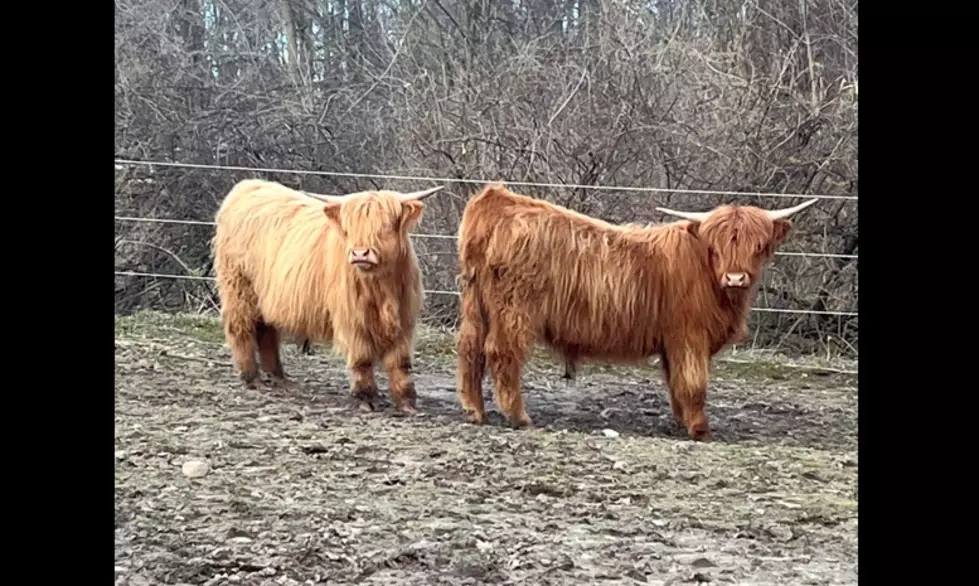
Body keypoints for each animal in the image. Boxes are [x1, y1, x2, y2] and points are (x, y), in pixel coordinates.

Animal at [216, 178, 446, 410]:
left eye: (385, 226)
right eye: (349, 228)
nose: (360, 253)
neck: (381, 287)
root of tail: (247, 186)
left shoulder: (404, 318)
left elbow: (400, 361)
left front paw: (407, 402)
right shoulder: (352, 318)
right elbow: (362, 357)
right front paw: (367, 397)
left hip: (265, 297)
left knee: (266, 331)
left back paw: (279, 377)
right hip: (239, 288)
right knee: (240, 328)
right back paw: (252, 378)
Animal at [458, 182, 820, 438]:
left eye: (758, 246)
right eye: (716, 247)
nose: (735, 277)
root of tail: (498, 199)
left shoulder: (673, 344)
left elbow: (675, 382)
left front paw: (681, 420)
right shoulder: (690, 337)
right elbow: (694, 382)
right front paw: (700, 428)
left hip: (476, 305)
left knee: (470, 349)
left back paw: (475, 411)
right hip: (514, 311)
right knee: (501, 352)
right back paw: (519, 417)